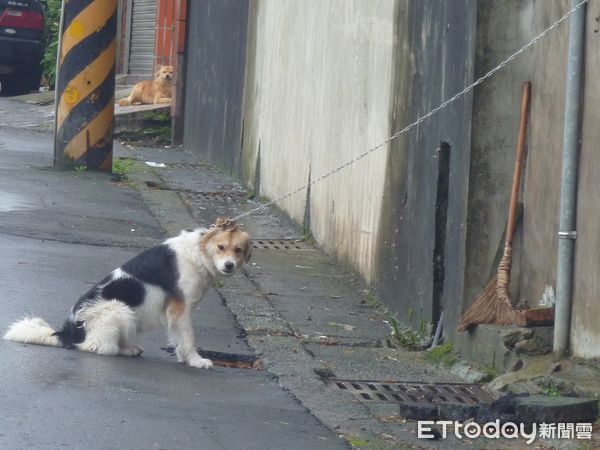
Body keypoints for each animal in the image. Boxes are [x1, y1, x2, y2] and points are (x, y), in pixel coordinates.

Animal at [4, 219, 251, 370]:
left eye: (238, 250)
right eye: (221, 247)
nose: (229, 265)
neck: (198, 252)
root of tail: (69, 332)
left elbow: (180, 338)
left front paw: (185, 357)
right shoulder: (180, 309)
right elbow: (188, 337)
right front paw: (195, 360)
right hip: (119, 309)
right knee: (95, 346)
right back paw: (124, 349)